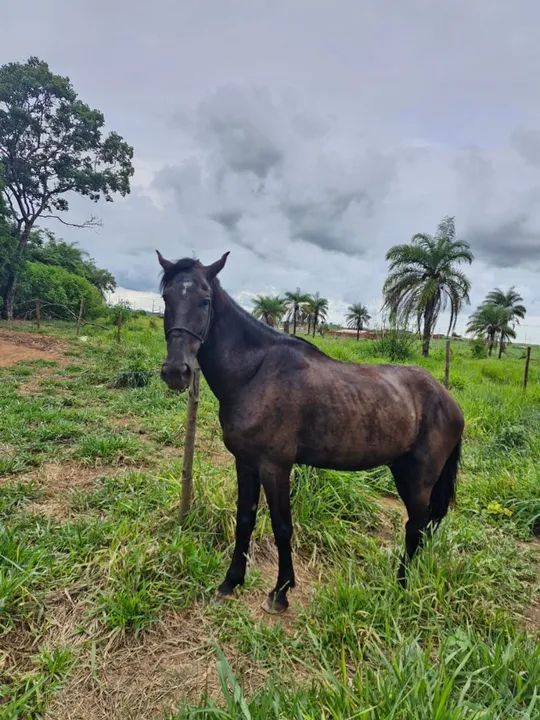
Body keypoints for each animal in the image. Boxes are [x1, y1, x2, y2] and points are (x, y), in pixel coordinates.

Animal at [157, 251, 464, 613]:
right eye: (167, 297)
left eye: (205, 301)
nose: (176, 371)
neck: (254, 373)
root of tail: (447, 399)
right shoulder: (245, 462)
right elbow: (245, 519)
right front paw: (231, 581)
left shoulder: (276, 467)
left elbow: (282, 527)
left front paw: (280, 592)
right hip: (403, 470)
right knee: (423, 526)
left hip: (417, 479)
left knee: (416, 525)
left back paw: (400, 586)